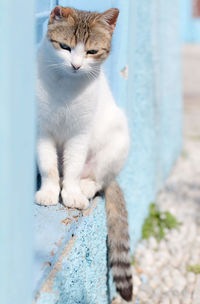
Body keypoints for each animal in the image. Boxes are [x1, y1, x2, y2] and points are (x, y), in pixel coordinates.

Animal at [36, 6, 133, 302]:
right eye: (65, 47)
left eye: (92, 51)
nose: (76, 65)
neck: (65, 85)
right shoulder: (42, 129)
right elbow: (47, 165)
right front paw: (49, 190)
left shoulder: (79, 135)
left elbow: (74, 165)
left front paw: (70, 192)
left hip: (118, 140)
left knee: (99, 178)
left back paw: (86, 187)